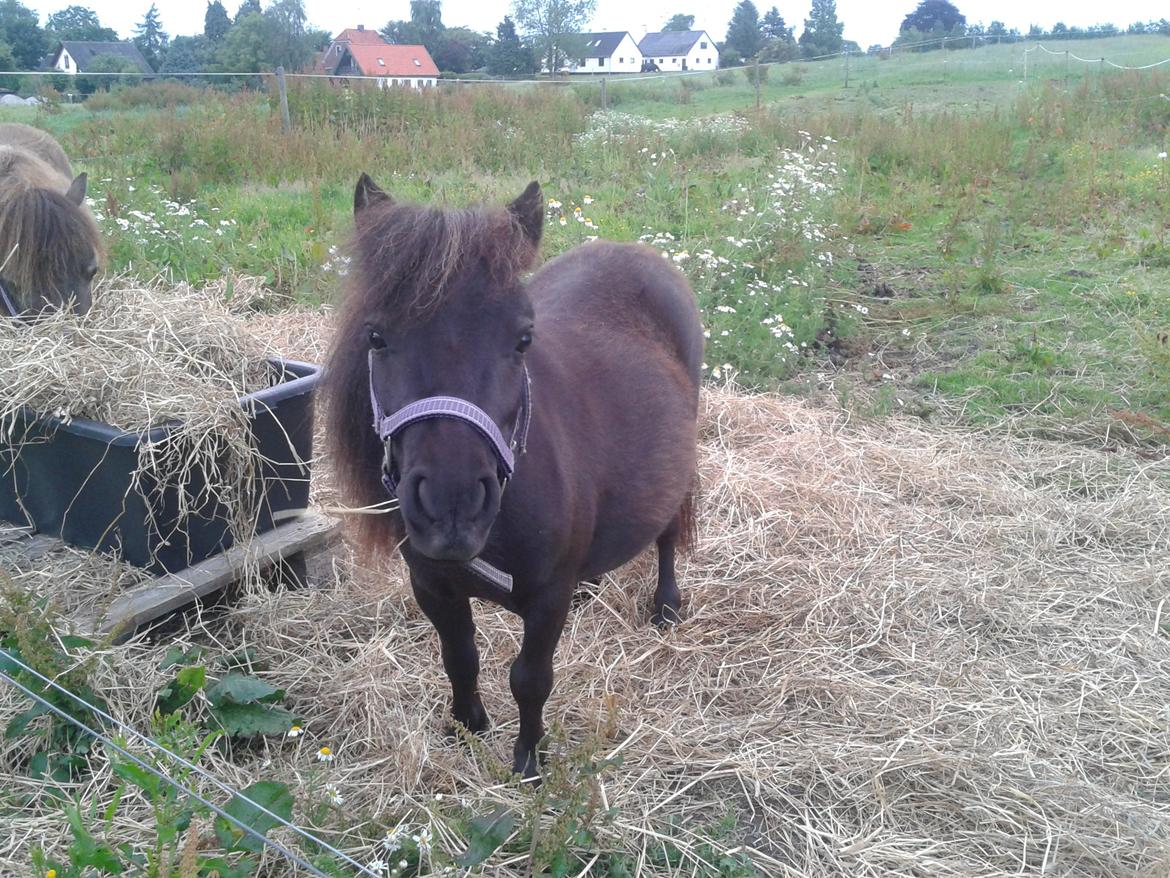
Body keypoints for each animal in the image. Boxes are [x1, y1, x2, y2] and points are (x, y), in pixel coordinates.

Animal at [325, 175, 697, 782]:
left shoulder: (546, 601)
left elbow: (530, 679)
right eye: (375, 336)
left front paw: (528, 760)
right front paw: (466, 727)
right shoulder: (432, 586)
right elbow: (459, 657)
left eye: (523, 339)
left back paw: (666, 604)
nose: (452, 506)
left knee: (668, 530)